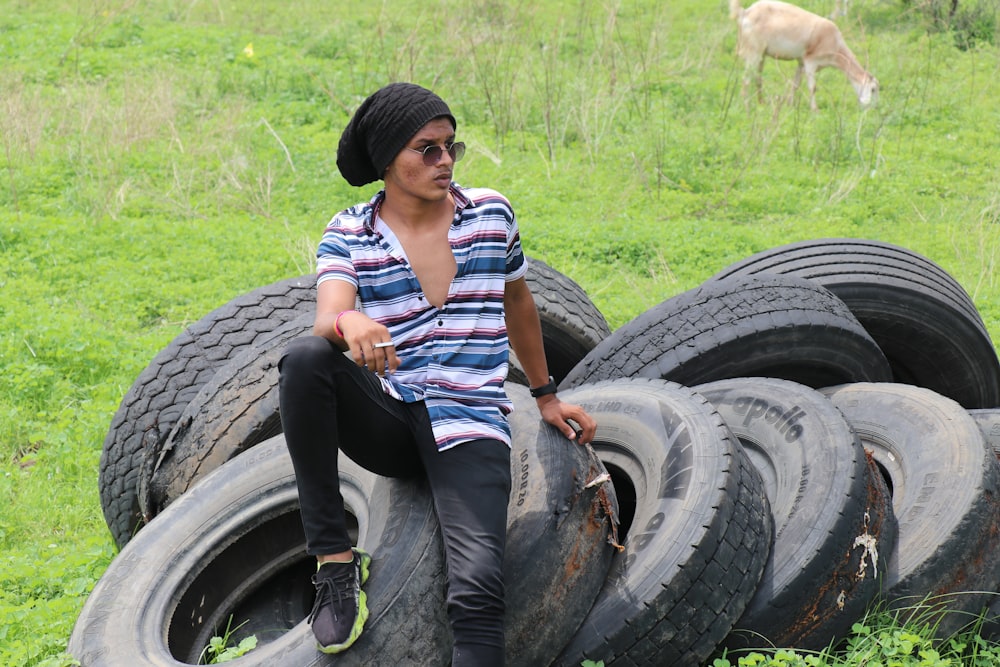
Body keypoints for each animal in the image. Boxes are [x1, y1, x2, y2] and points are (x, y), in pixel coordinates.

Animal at [732, 0, 880, 111]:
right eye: (873, 89)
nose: (874, 109)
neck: (836, 46)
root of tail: (745, 12)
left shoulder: (801, 62)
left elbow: (795, 84)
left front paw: (790, 105)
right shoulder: (810, 62)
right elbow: (812, 88)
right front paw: (815, 111)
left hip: (761, 54)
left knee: (758, 78)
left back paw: (761, 103)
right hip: (754, 52)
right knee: (745, 80)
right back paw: (747, 108)